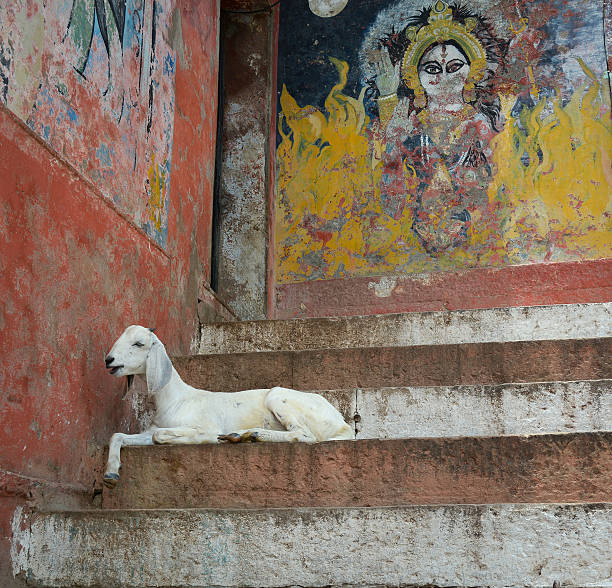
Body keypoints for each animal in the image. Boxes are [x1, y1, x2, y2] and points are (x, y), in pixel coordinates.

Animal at [103, 324, 356, 484]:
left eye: (138, 343)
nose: (109, 360)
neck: (176, 399)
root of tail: (342, 423)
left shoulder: (204, 427)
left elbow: (161, 436)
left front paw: (216, 439)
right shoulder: (151, 430)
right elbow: (118, 436)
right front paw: (110, 474)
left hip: (278, 397)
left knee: (304, 435)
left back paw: (252, 434)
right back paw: (242, 435)